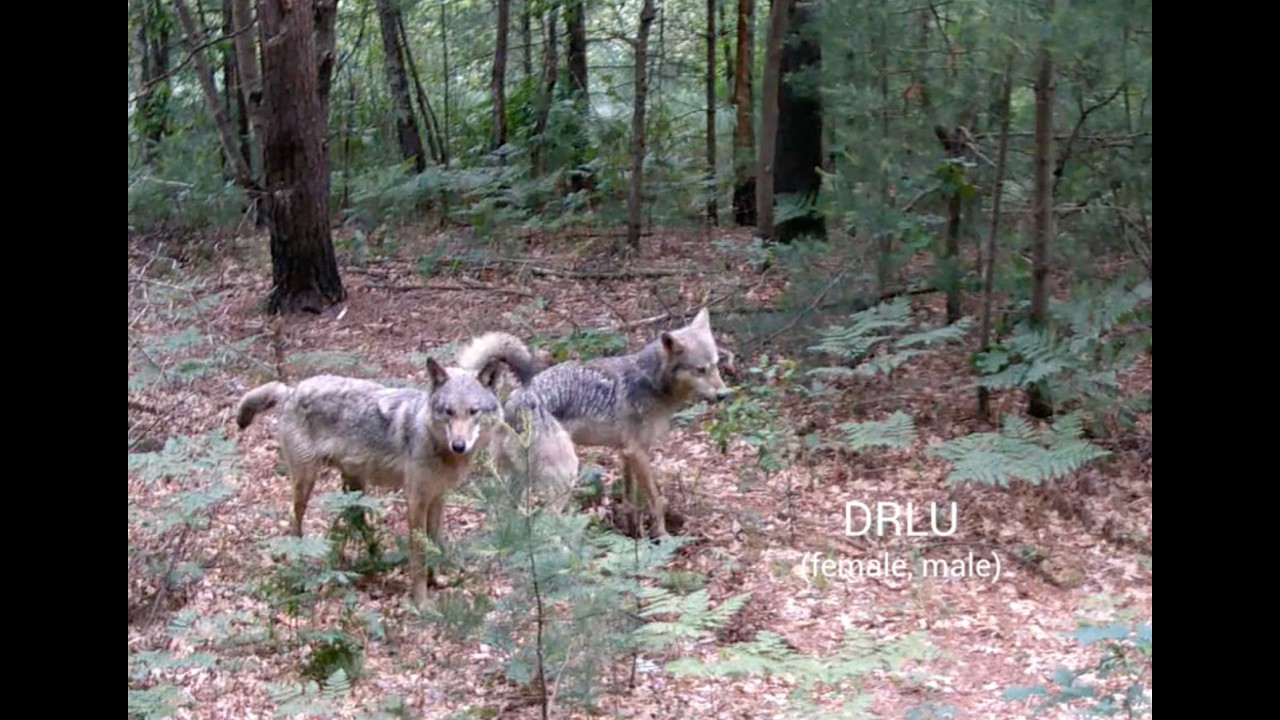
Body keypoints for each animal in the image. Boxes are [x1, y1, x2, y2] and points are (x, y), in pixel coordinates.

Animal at [234, 332, 534, 605]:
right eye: (448, 411)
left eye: (473, 411)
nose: (459, 445)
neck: (436, 445)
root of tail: (291, 390)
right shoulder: (415, 500)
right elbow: (419, 555)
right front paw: (421, 603)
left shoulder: (438, 498)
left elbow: (435, 544)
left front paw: (436, 581)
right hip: (307, 482)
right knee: (293, 523)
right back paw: (300, 564)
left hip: (354, 487)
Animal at [466, 309, 732, 536]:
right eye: (700, 370)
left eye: (716, 365)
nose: (724, 394)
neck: (651, 381)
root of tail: (510, 403)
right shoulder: (637, 452)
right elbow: (656, 500)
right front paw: (662, 536)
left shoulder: (626, 454)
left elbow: (631, 503)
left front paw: (634, 536)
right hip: (565, 474)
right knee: (548, 521)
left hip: (517, 481)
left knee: (504, 514)